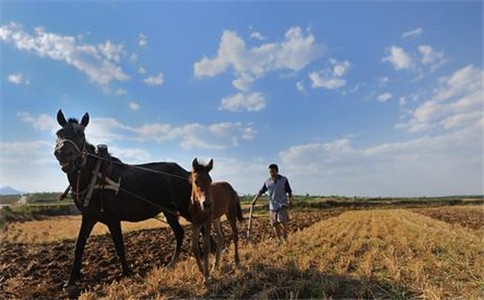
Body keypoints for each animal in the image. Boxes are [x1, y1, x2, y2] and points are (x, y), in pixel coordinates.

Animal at [53, 109, 193, 290]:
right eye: (59, 133)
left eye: (81, 135)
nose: (63, 153)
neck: (96, 178)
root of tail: (186, 172)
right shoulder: (88, 217)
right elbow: (79, 246)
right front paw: (71, 280)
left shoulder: (113, 219)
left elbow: (119, 245)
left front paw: (128, 273)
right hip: (169, 211)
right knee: (181, 232)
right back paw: (173, 263)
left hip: (184, 207)